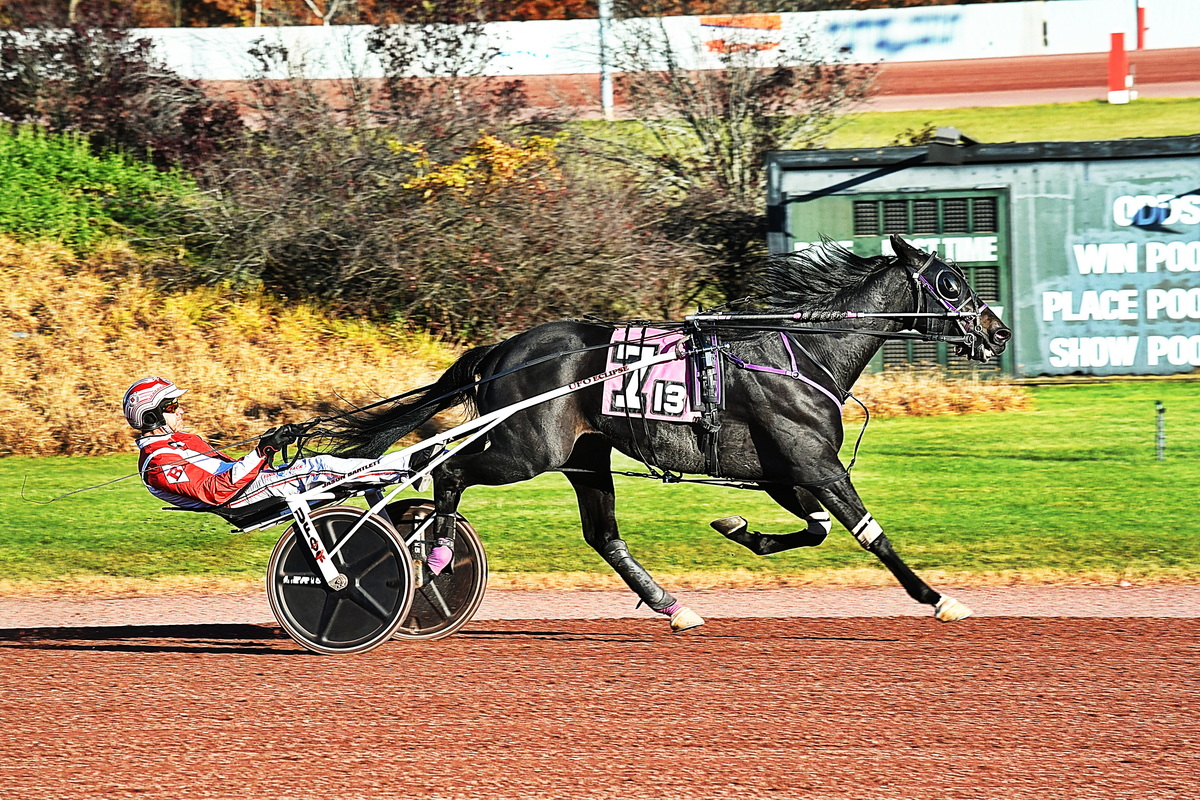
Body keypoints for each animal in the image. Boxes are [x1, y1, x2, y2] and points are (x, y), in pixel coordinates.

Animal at [321, 235, 1012, 628]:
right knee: (447, 469)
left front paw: (738, 529)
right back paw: (432, 549)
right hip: (527, 447)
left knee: (602, 534)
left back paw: (672, 607)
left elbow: (813, 529)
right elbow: (872, 536)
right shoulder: (815, 464)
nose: (998, 331)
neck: (803, 351)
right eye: (950, 282)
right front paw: (938, 597)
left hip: (585, 455)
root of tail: (501, 351)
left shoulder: (780, 471)